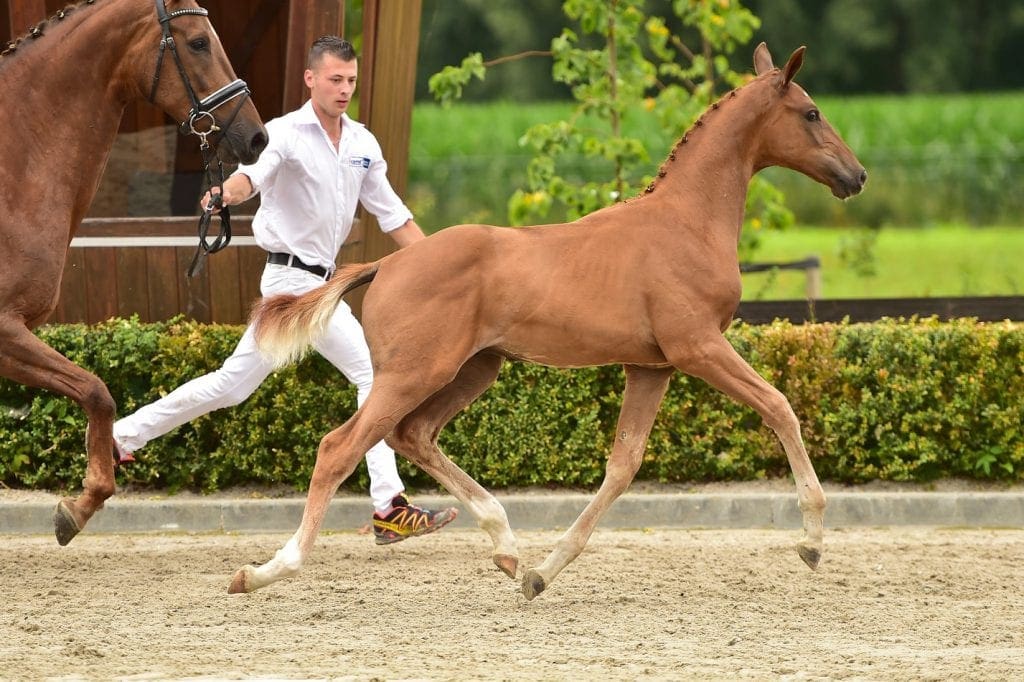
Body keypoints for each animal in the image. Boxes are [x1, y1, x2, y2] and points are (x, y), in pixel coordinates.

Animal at [0, 0, 267, 546]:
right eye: (198, 42)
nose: (256, 136)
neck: (13, 165)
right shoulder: (4, 330)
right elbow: (98, 393)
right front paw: (79, 505)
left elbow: (95, 395)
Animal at [239, 43, 866, 599]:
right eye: (811, 112)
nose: (856, 175)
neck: (685, 222)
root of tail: (387, 263)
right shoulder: (698, 347)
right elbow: (780, 407)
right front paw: (812, 543)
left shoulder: (651, 367)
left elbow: (622, 466)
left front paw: (544, 572)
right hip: (415, 372)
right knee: (339, 446)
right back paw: (268, 570)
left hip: (474, 370)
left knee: (412, 434)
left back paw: (508, 547)